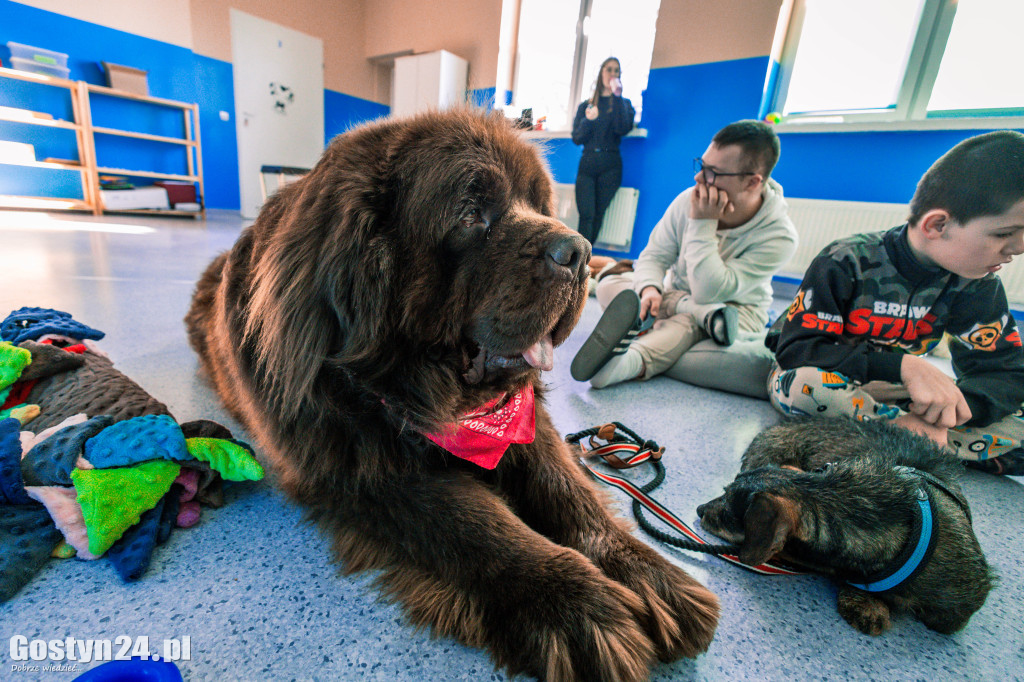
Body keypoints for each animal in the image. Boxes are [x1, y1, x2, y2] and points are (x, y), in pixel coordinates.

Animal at [186, 109, 720, 675]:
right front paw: (580, 608)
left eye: (540, 205)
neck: (429, 397)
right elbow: (478, 526)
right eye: (470, 216)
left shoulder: (526, 425)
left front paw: (649, 576)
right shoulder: (366, 472)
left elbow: (569, 493)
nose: (579, 251)